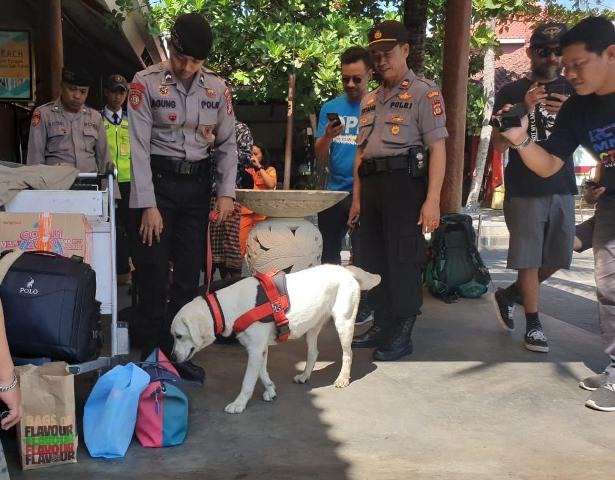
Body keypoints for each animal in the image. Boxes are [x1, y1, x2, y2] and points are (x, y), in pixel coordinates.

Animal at [170, 264, 380, 414]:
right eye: (173, 336)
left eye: (179, 336)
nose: (171, 357)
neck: (230, 307)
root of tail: (346, 269)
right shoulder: (259, 349)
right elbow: (262, 373)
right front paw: (271, 390)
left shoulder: (255, 350)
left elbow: (248, 381)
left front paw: (239, 404)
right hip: (312, 327)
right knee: (314, 352)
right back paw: (304, 376)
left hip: (344, 322)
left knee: (348, 354)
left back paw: (343, 378)